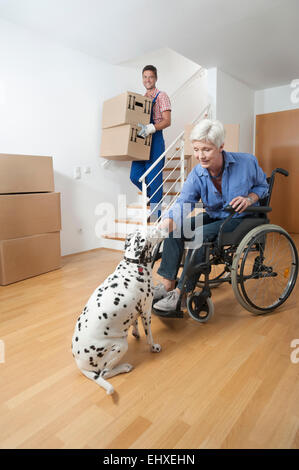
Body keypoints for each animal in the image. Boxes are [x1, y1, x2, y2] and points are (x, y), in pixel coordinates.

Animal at [72, 226, 168, 394]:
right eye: (153, 230)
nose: (165, 227)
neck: (134, 265)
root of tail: (81, 364)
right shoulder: (146, 312)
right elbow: (149, 335)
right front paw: (153, 347)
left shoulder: (135, 310)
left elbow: (134, 323)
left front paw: (135, 332)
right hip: (121, 345)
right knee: (105, 373)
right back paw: (124, 367)